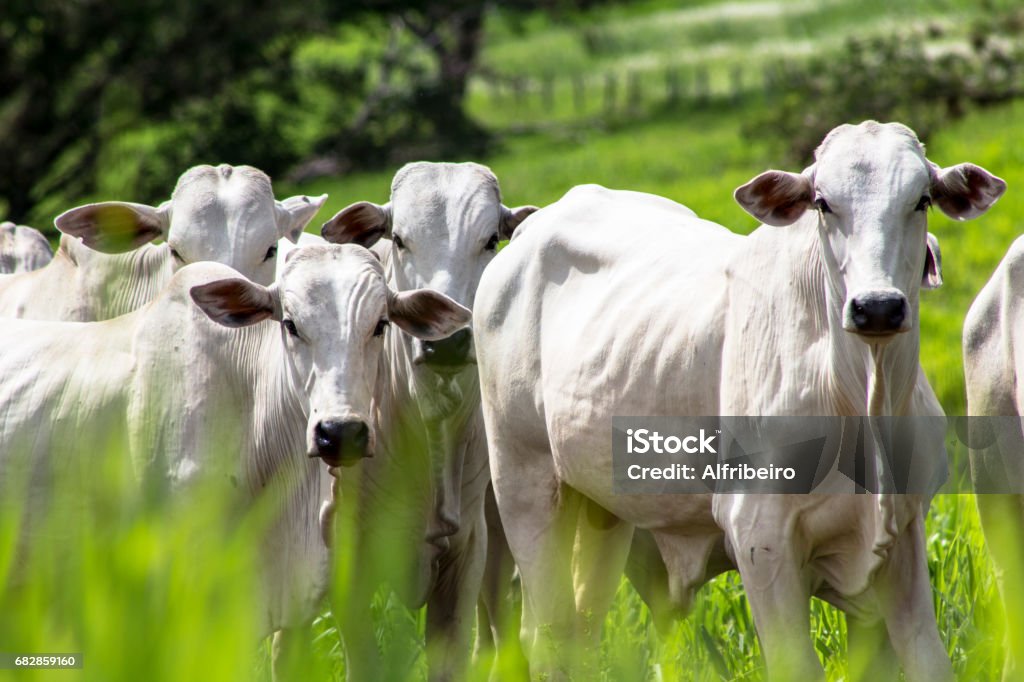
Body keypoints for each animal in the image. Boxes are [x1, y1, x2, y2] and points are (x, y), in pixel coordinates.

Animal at [475, 122, 1003, 679]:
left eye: (921, 199)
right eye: (822, 203)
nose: (877, 307)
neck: (862, 393)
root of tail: (533, 229)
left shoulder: (901, 536)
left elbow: (927, 658)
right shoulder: (759, 537)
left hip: (600, 508)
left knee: (579, 627)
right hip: (525, 483)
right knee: (548, 633)